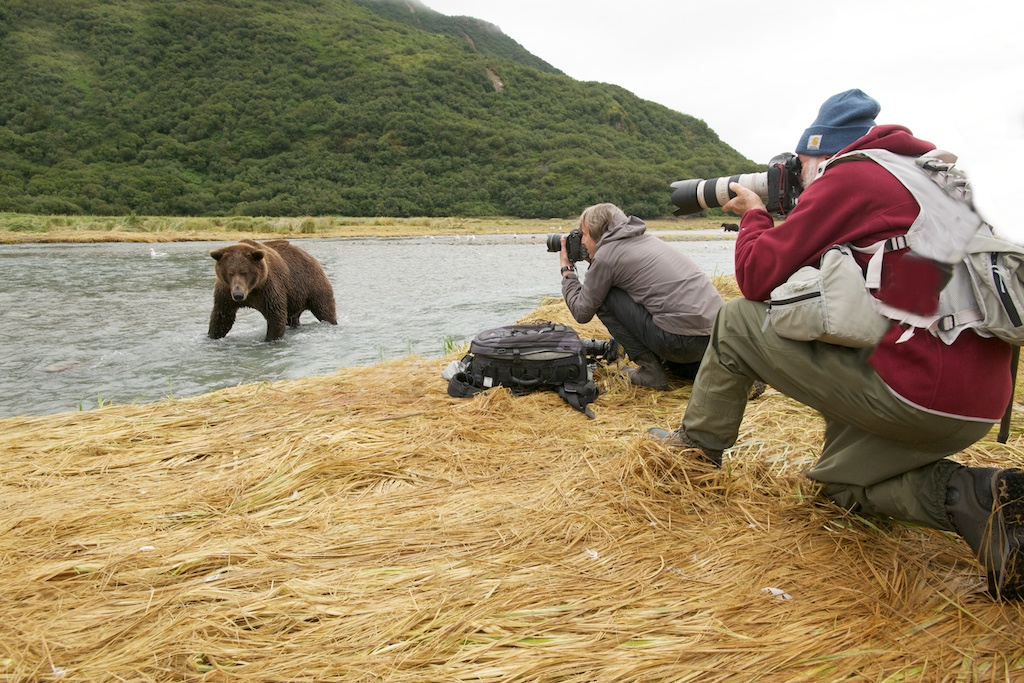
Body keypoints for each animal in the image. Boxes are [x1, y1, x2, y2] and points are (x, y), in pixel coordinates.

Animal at [209, 239, 337, 342]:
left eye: (244, 272)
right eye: (230, 273)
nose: (238, 295)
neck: (252, 290)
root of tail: (311, 258)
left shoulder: (268, 288)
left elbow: (275, 315)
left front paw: (270, 339)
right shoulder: (225, 293)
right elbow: (222, 317)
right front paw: (213, 335)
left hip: (312, 286)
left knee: (325, 310)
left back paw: (331, 323)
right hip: (294, 299)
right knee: (293, 318)